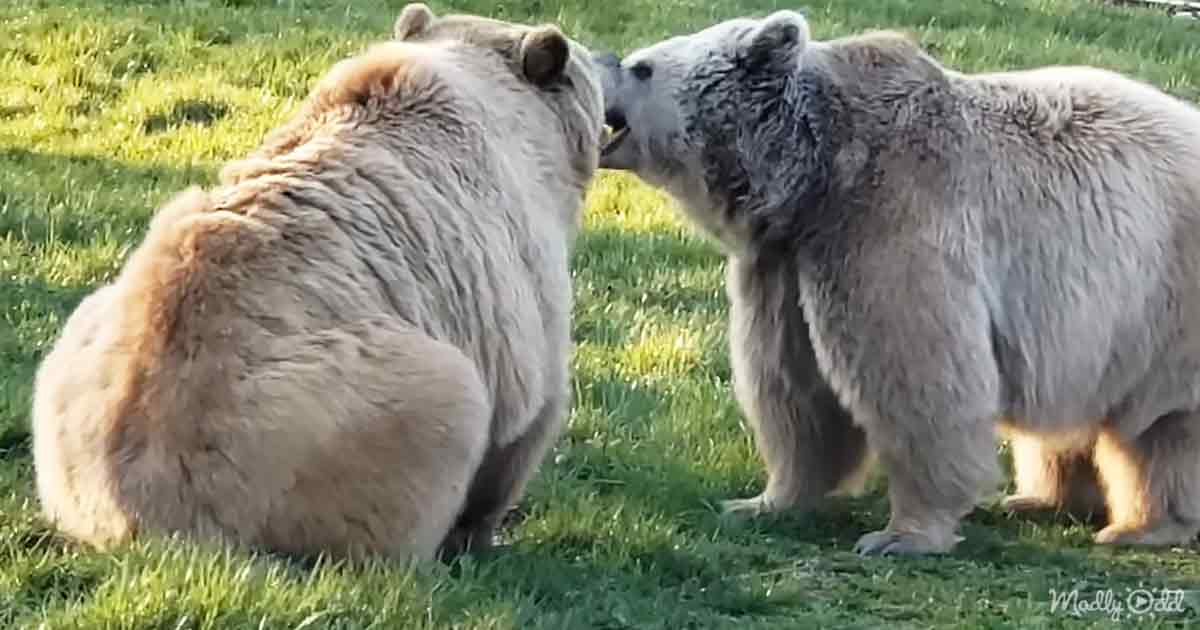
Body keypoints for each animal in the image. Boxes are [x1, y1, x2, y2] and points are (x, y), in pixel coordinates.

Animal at [29, 3, 609, 559]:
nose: (608, 58)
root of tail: (143, 516)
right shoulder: (518, 270)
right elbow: (528, 415)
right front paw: (483, 531)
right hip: (348, 416)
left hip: (78, 356)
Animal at [595, 11, 1200, 554]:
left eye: (643, 66)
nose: (602, 57)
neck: (815, 174)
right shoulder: (784, 266)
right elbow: (793, 388)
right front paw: (762, 501)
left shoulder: (890, 226)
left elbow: (918, 381)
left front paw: (900, 534)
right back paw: (1038, 499)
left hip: (1163, 299)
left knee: (1163, 425)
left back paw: (1142, 526)